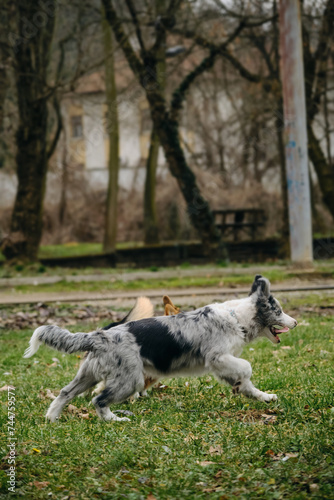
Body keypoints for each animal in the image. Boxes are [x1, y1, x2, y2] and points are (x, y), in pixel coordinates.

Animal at [24, 276, 298, 424]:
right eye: (279, 311)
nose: (295, 322)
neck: (237, 317)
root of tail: (100, 335)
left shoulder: (223, 364)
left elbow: (247, 384)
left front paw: (264, 397)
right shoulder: (218, 358)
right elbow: (246, 368)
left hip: (87, 375)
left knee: (64, 393)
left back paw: (51, 418)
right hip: (130, 380)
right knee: (98, 400)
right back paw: (115, 420)